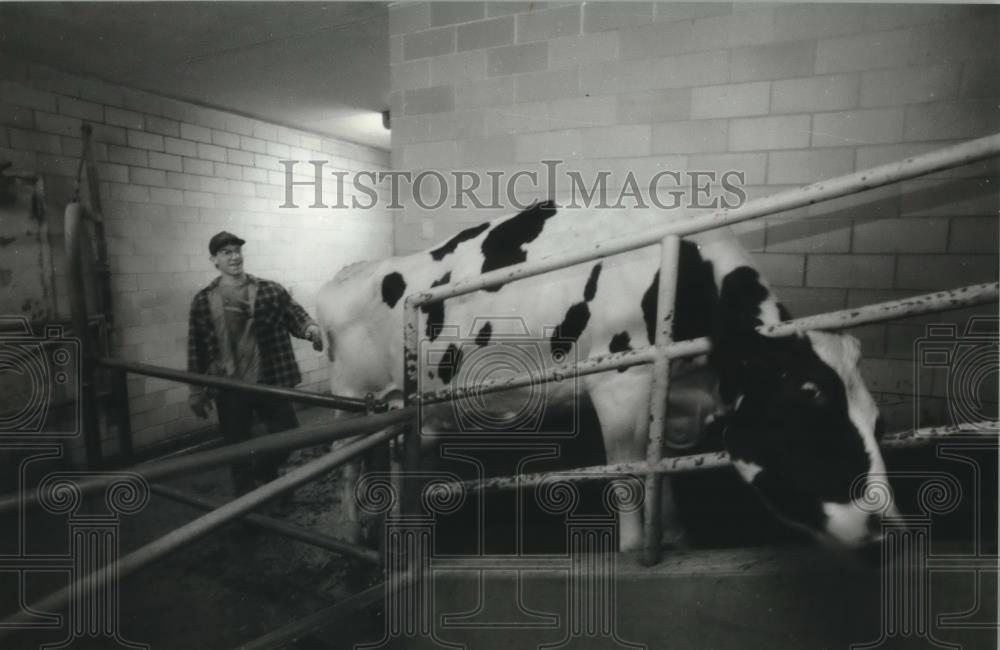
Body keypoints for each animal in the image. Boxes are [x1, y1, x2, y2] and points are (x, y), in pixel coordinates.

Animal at [316, 200, 896, 548]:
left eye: (878, 422)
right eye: (809, 405)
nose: (886, 529)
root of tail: (345, 275)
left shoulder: (669, 398)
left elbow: (661, 474)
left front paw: (674, 539)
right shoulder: (621, 387)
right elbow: (629, 479)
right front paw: (636, 553)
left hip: (405, 410)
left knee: (395, 460)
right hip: (350, 398)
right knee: (344, 465)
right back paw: (348, 534)